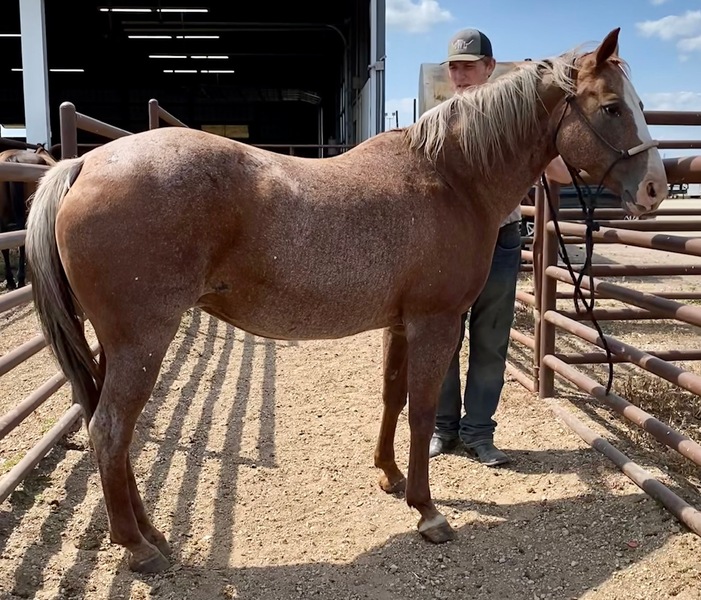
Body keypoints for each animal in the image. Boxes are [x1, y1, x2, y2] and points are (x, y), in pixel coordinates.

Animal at [25, 28, 667, 573]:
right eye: (612, 107)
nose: (656, 188)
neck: (450, 177)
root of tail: (84, 163)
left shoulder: (401, 324)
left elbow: (392, 398)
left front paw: (389, 477)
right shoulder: (435, 322)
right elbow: (423, 409)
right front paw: (428, 512)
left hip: (113, 345)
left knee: (107, 427)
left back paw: (151, 532)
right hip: (143, 341)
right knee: (111, 430)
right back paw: (138, 549)